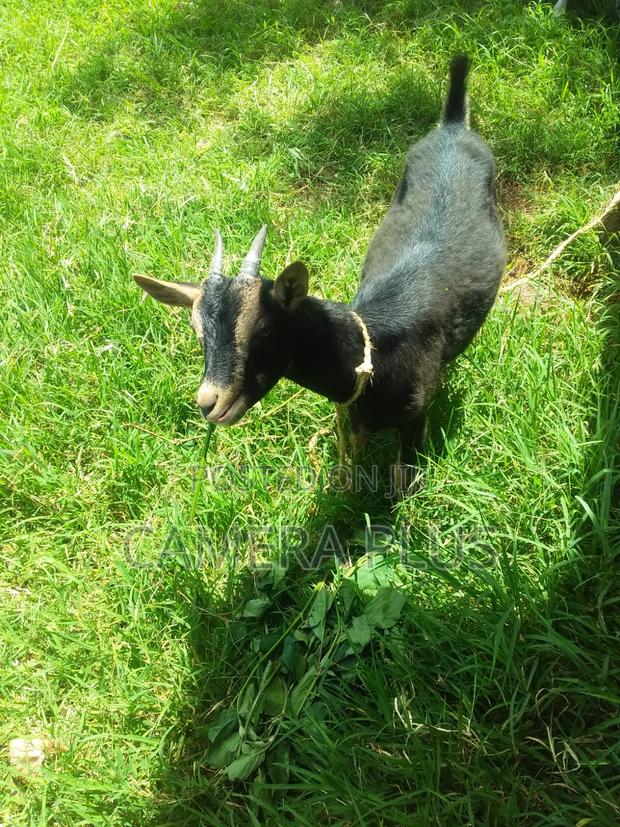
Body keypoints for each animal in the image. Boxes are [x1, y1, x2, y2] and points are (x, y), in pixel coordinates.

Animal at [135, 55, 506, 491]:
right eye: (197, 331)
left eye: (264, 326)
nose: (209, 402)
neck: (373, 347)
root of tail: (452, 126)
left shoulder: (415, 416)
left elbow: (404, 477)